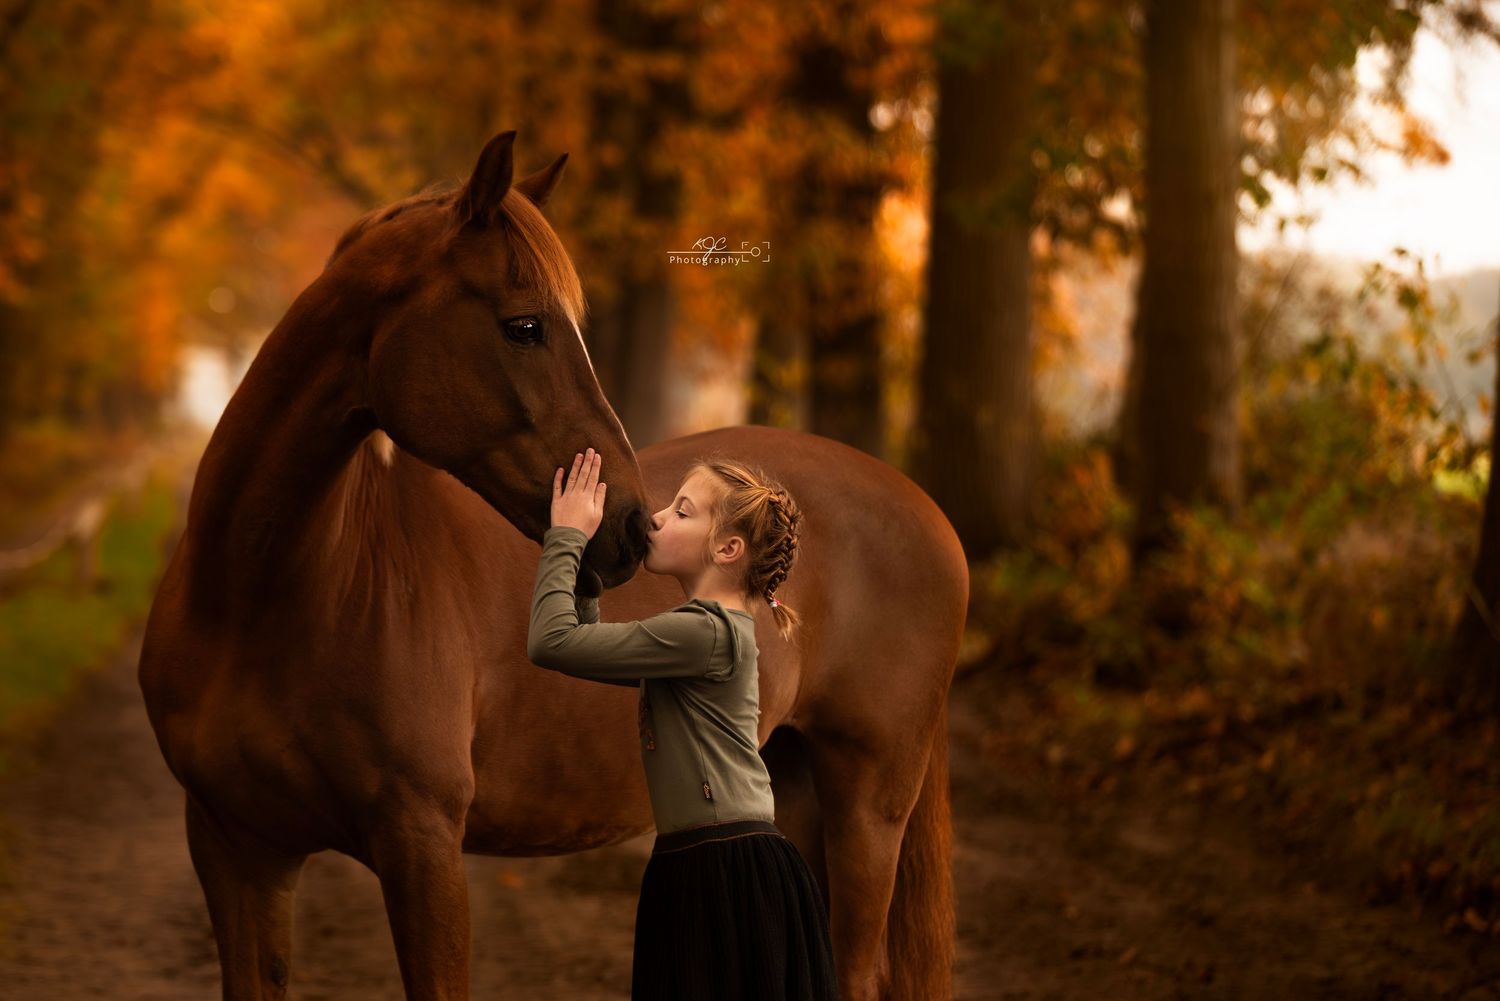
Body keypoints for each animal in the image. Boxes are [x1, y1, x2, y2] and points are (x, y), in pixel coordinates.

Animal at [137, 130, 969, 1001]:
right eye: (526, 325)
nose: (633, 522)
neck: (270, 600)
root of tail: (924, 507)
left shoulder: (422, 846)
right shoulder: (236, 850)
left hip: (868, 804)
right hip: (793, 782)